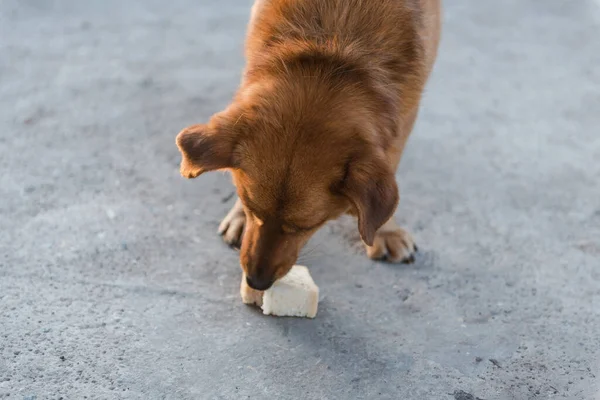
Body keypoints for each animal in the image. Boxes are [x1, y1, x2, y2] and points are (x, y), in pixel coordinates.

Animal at [173, 0, 440, 290]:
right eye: (251, 207)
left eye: (305, 227)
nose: (256, 282)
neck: (333, 45)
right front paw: (240, 216)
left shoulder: (406, 112)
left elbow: (391, 160)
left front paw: (385, 230)